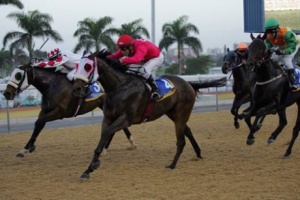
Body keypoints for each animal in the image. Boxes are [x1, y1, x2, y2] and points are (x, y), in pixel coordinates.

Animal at [2, 64, 136, 158]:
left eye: (18, 75)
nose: (6, 93)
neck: (52, 86)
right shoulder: (45, 110)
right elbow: (38, 125)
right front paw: (25, 149)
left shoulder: (59, 112)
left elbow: (39, 122)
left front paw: (28, 148)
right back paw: (128, 143)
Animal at [71, 50, 225, 180]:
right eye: (78, 66)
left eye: (88, 67)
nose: (76, 89)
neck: (120, 88)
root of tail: (188, 84)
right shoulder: (108, 118)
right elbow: (103, 137)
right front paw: (88, 169)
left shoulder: (126, 119)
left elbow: (107, 133)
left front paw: (94, 164)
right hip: (173, 114)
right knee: (187, 130)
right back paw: (198, 153)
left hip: (181, 114)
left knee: (181, 141)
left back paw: (172, 165)